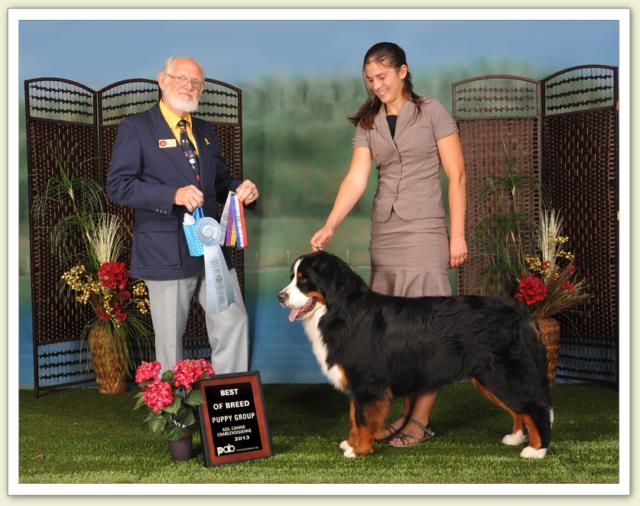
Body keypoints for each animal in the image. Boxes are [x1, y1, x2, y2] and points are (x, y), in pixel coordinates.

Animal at [278, 252, 552, 458]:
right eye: (292, 277)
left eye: (304, 280)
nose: (280, 297)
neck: (341, 312)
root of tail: (518, 311)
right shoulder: (356, 385)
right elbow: (354, 418)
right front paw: (352, 443)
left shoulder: (367, 383)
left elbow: (363, 419)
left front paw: (359, 450)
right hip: (489, 378)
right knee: (520, 409)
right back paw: (515, 437)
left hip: (502, 374)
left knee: (535, 407)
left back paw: (536, 450)